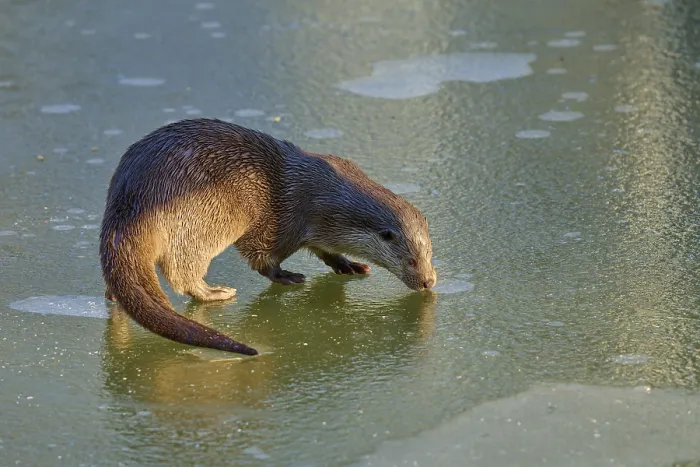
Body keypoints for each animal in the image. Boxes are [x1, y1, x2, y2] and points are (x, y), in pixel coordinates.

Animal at [99, 118, 437, 356]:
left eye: (430, 254)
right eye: (411, 260)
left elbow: (324, 249)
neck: (324, 196)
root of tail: (132, 201)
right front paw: (288, 276)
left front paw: (348, 264)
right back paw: (214, 292)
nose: (428, 282)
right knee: (181, 270)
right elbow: (262, 256)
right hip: (203, 220)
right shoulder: (285, 220)